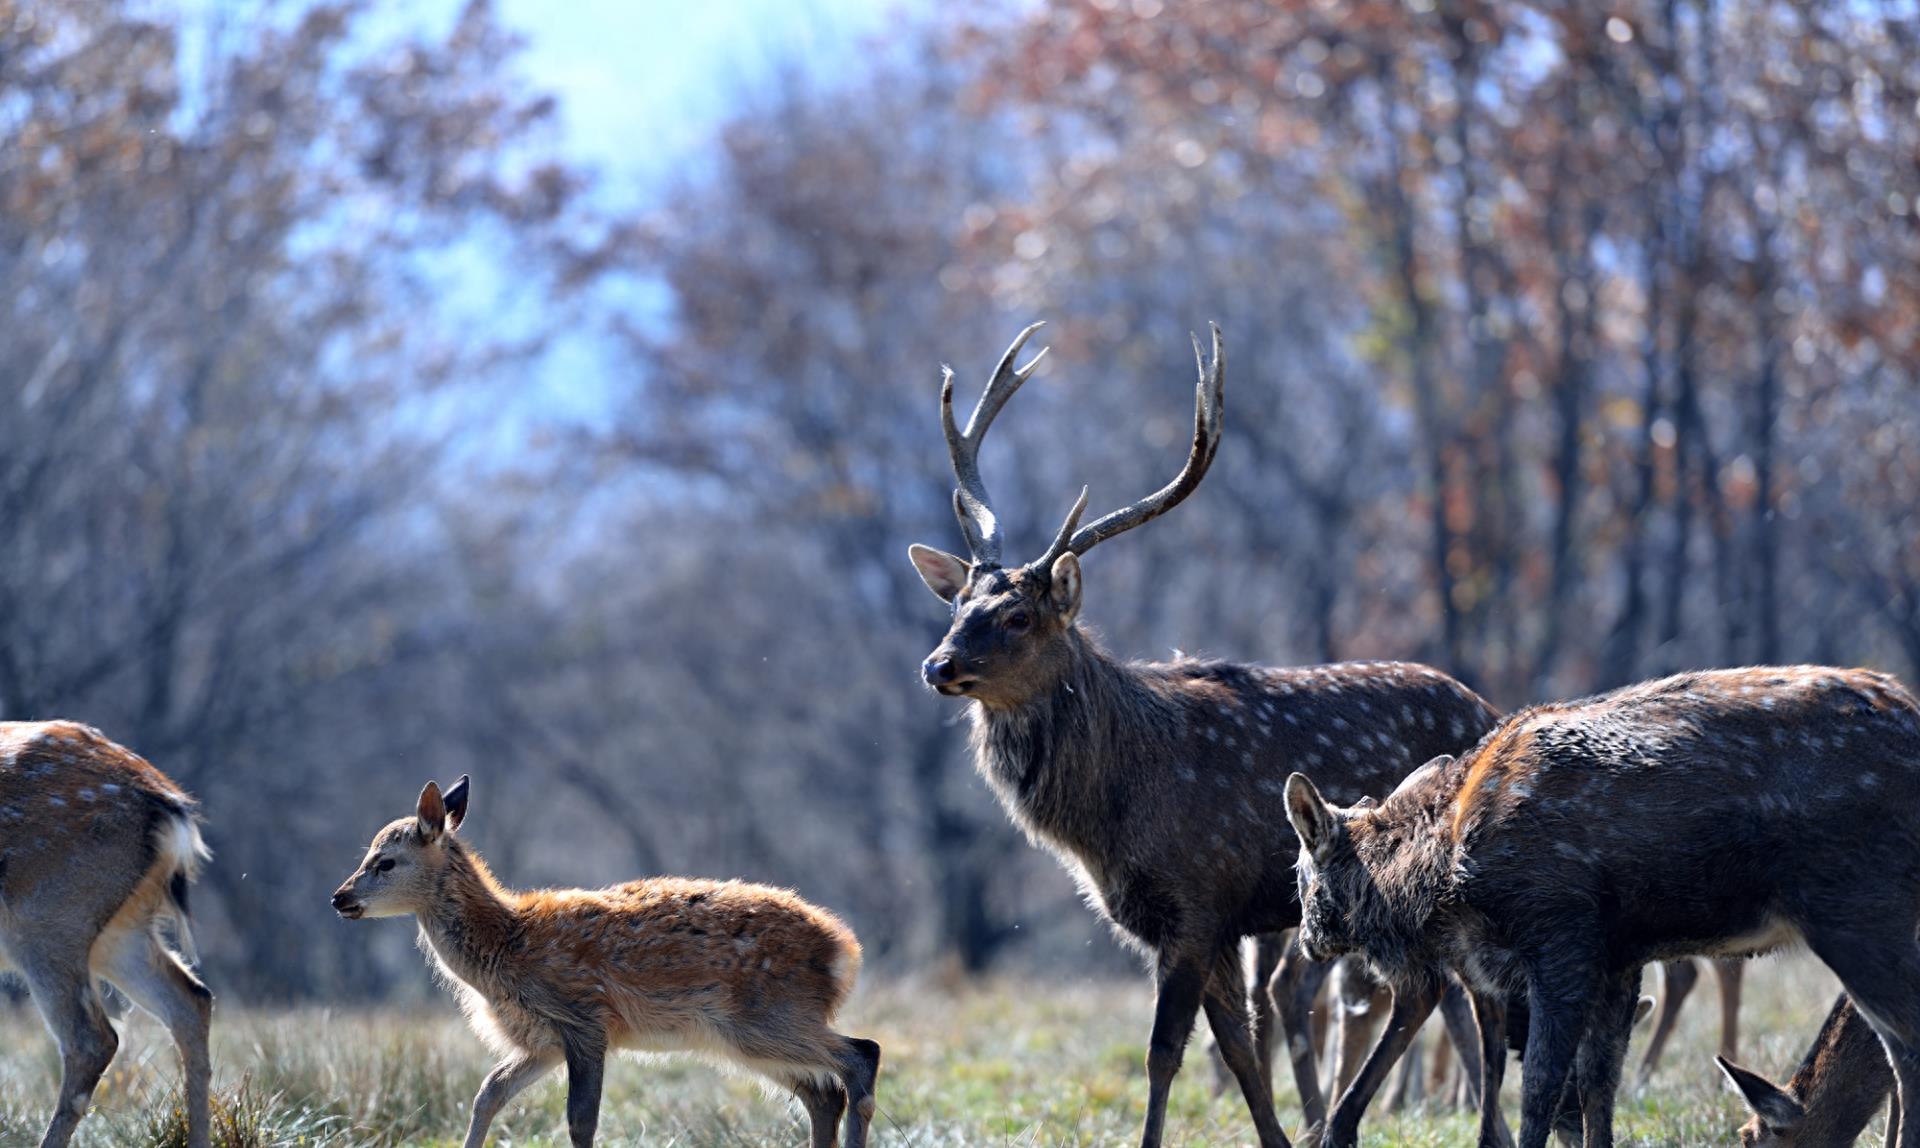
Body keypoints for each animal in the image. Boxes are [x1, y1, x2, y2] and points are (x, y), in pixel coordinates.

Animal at [334, 779, 879, 1144]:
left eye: (385, 862)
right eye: (368, 854)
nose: (340, 898)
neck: (508, 944)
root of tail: (843, 950)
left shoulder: (585, 1018)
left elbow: (580, 1119)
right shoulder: (543, 1039)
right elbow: (488, 1092)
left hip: (763, 1016)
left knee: (861, 1055)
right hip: (743, 1037)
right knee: (823, 1092)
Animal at [906, 324, 1505, 1148]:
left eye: (1019, 616)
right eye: (960, 601)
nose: (938, 664)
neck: (1110, 815)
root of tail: (1491, 710)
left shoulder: (1194, 903)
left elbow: (1165, 1052)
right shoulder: (1210, 925)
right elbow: (1237, 1047)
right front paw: (1278, 1140)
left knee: (1439, 990)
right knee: (1455, 995)